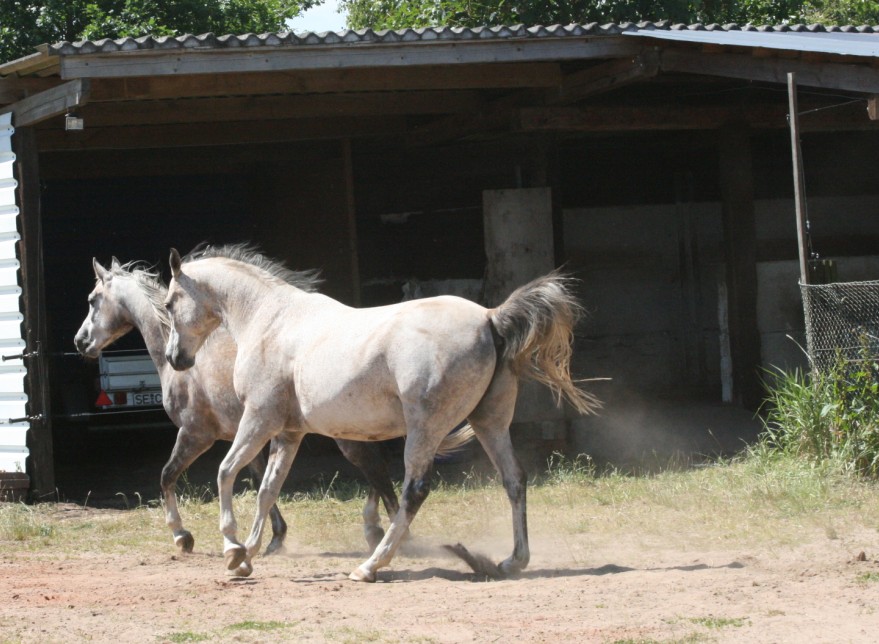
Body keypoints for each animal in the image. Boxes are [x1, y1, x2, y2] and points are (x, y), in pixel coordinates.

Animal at [163, 244, 600, 580]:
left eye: (169, 303)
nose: (174, 358)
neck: (268, 319)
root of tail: (490, 318)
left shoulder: (258, 420)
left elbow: (226, 473)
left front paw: (232, 546)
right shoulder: (289, 433)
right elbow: (268, 490)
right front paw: (247, 556)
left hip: (425, 429)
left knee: (414, 490)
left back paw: (370, 566)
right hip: (489, 423)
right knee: (514, 480)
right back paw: (512, 561)